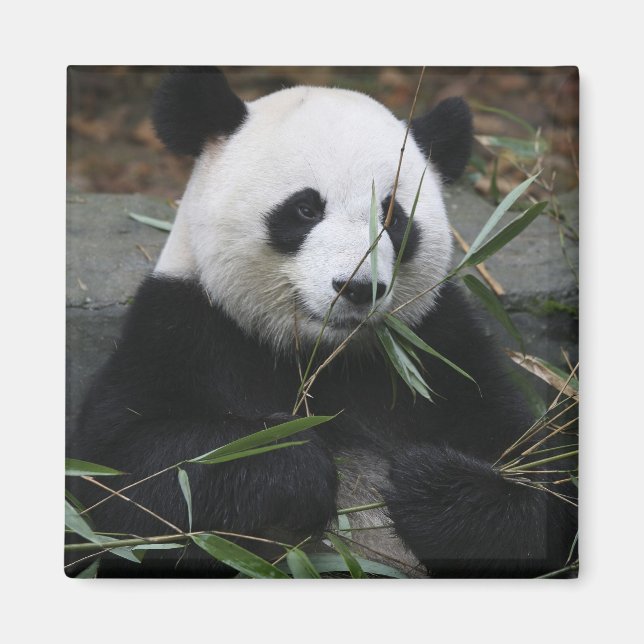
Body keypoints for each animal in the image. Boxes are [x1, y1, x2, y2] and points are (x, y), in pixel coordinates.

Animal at [69, 67, 577, 578]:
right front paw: (290, 460)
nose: (358, 288)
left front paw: (429, 486)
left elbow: (543, 480)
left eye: (392, 216)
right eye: (306, 209)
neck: (323, 356)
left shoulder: (440, 345)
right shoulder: (182, 327)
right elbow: (126, 478)